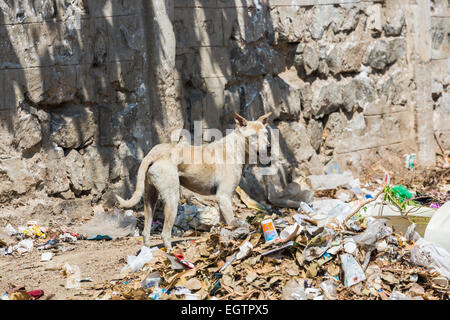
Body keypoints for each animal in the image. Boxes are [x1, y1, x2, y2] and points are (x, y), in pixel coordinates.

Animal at [115, 112, 270, 250]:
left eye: (266, 134)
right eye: (254, 136)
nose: (269, 147)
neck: (236, 147)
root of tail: (153, 154)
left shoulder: (221, 200)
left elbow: (223, 222)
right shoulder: (224, 197)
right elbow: (232, 221)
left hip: (150, 199)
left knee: (146, 232)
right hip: (172, 200)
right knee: (165, 234)